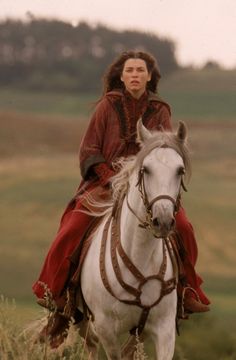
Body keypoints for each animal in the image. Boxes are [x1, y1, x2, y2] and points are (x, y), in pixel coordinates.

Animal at [78, 121, 191, 360]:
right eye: (145, 169)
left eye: (180, 170)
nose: (163, 221)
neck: (139, 255)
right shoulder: (105, 330)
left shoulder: (164, 330)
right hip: (86, 326)